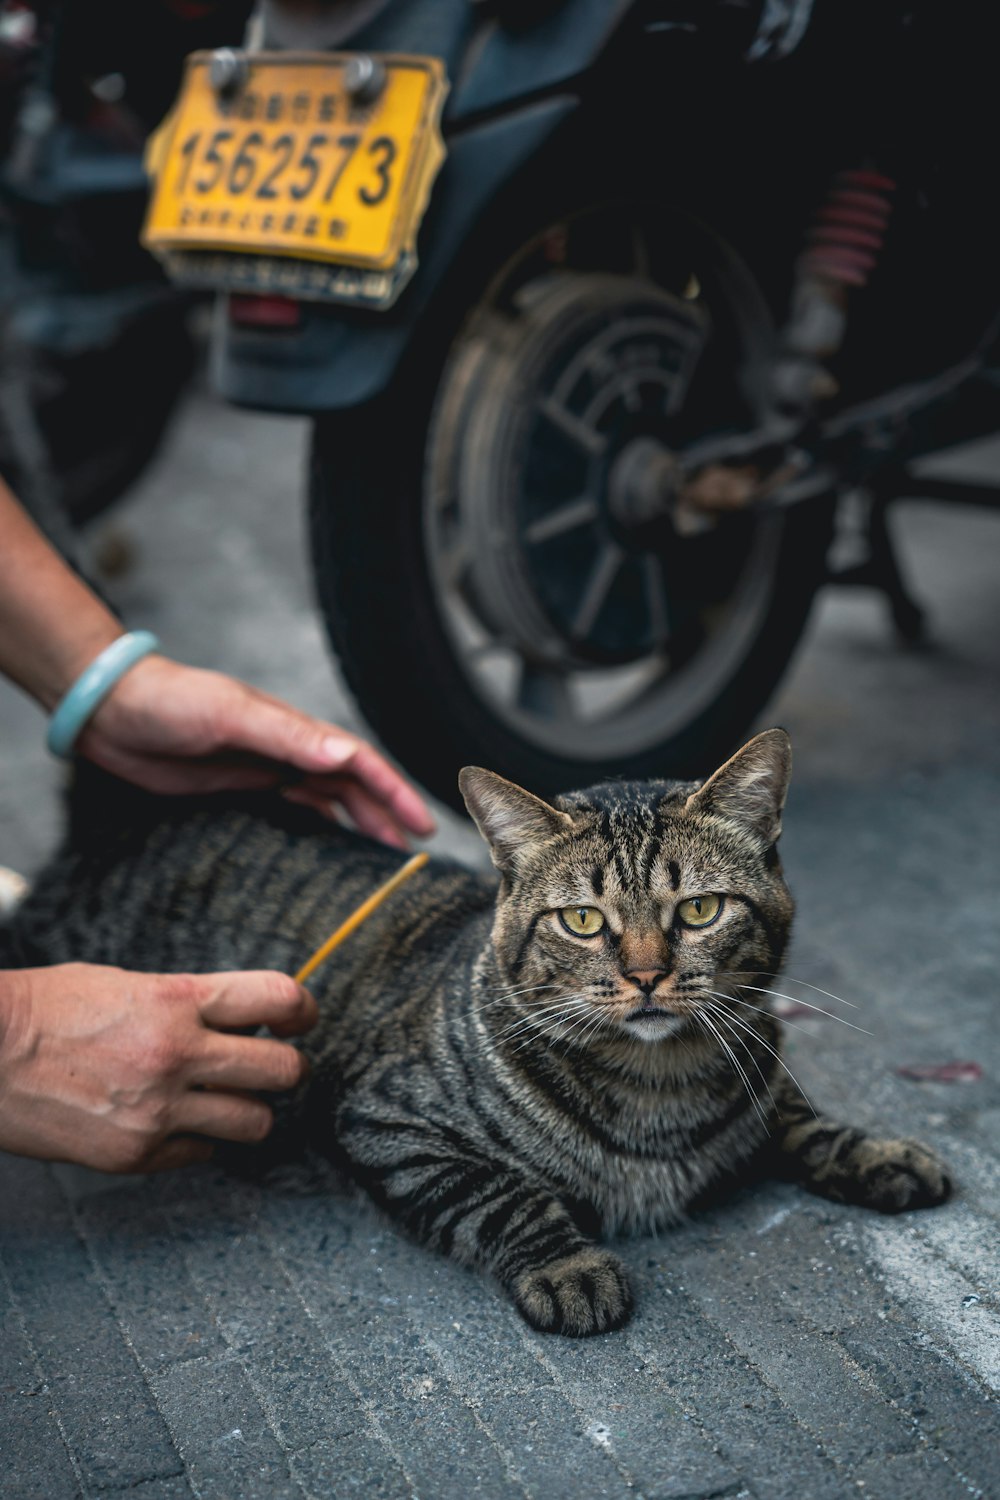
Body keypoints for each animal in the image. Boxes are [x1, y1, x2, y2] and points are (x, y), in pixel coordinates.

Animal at [1, 729, 953, 1338]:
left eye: (699, 911)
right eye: (581, 921)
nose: (647, 975)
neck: (661, 1084)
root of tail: (117, 821)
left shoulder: (759, 1064)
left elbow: (801, 1118)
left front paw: (878, 1152)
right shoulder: (385, 1123)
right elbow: (505, 1193)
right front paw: (570, 1268)